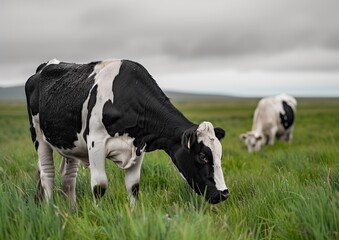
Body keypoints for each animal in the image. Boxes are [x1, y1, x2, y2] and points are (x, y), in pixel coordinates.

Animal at [25, 58, 230, 206]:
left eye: (220, 155)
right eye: (203, 157)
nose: (224, 194)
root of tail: (45, 66)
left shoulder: (138, 145)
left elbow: (134, 186)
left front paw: (134, 215)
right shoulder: (96, 144)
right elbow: (99, 186)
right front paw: (99, 215)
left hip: (70, 144)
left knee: (68, 179)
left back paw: (71, 211)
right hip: (38, 136)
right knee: (47, 174)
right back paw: (51, 212)